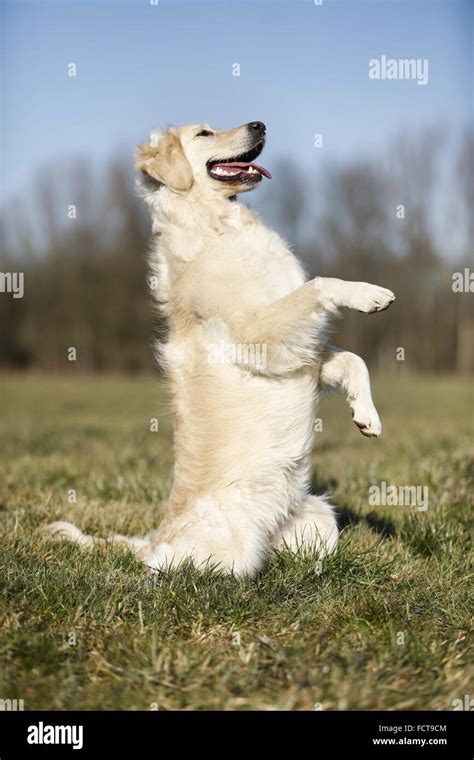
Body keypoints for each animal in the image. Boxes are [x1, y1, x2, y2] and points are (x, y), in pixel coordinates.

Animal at [47, 123, 396, 576]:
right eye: (205, 133)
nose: (260, 124)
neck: (221, 225)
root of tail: (154, 537)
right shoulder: (261, 336)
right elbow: (320, 284)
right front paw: (370, 294)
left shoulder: (301, 352)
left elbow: (355, 360)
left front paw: (366, 416)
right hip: (227, 549)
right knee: (164, 566)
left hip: (318, 519)